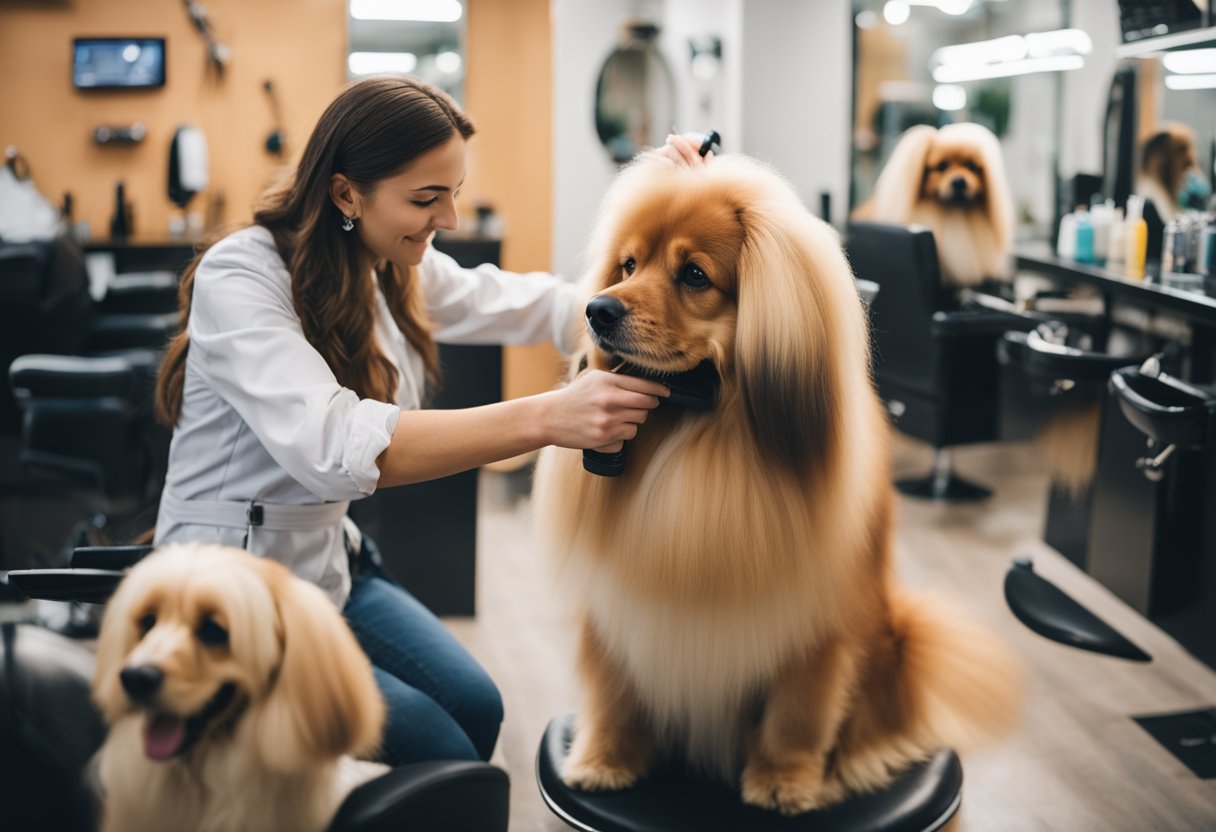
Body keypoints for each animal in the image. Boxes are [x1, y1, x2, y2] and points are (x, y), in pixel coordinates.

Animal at [537, 150, 1021, 812]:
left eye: (694, 275)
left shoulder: (812, 629)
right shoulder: (618, 609)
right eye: (628, 265)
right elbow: (614, 693)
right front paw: (604, 760)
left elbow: (797, 716)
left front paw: (784, 782)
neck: (698, 437)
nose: (597, 310)